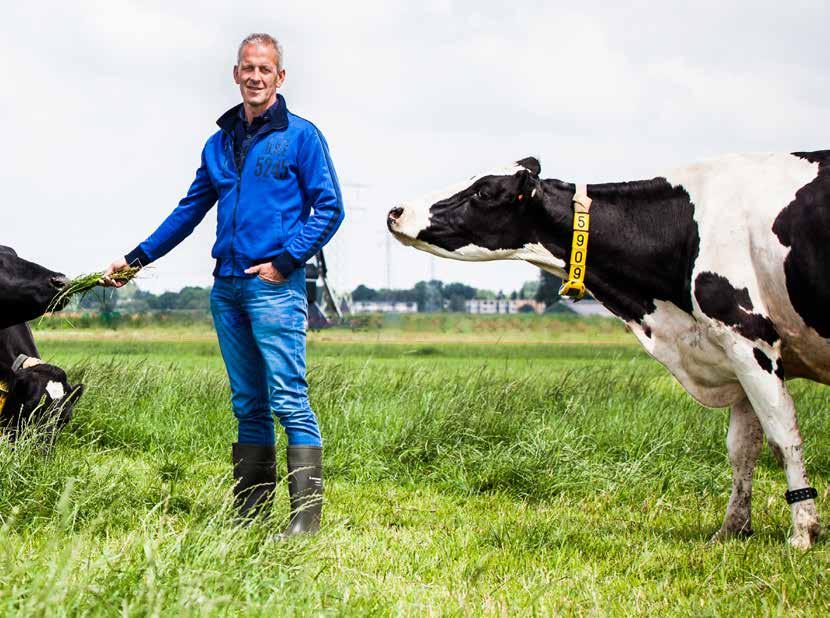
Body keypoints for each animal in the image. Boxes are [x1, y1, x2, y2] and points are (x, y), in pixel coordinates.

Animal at [390, 152, 830, 548]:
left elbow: (783, 439)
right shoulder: (733, 352)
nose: (396, 210)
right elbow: (742, 449)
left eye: (483, 191)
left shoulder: (750, 339)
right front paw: (732, 531)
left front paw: (803, 533)